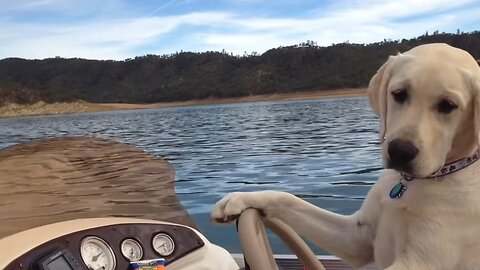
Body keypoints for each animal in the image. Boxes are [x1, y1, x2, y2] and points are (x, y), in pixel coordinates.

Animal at [212, 43, 480, 268]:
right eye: (399, 93)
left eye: (448, 105)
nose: (400, 152)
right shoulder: (358, 236)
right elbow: (288, 199)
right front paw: (240, 198)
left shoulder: (420, 262)